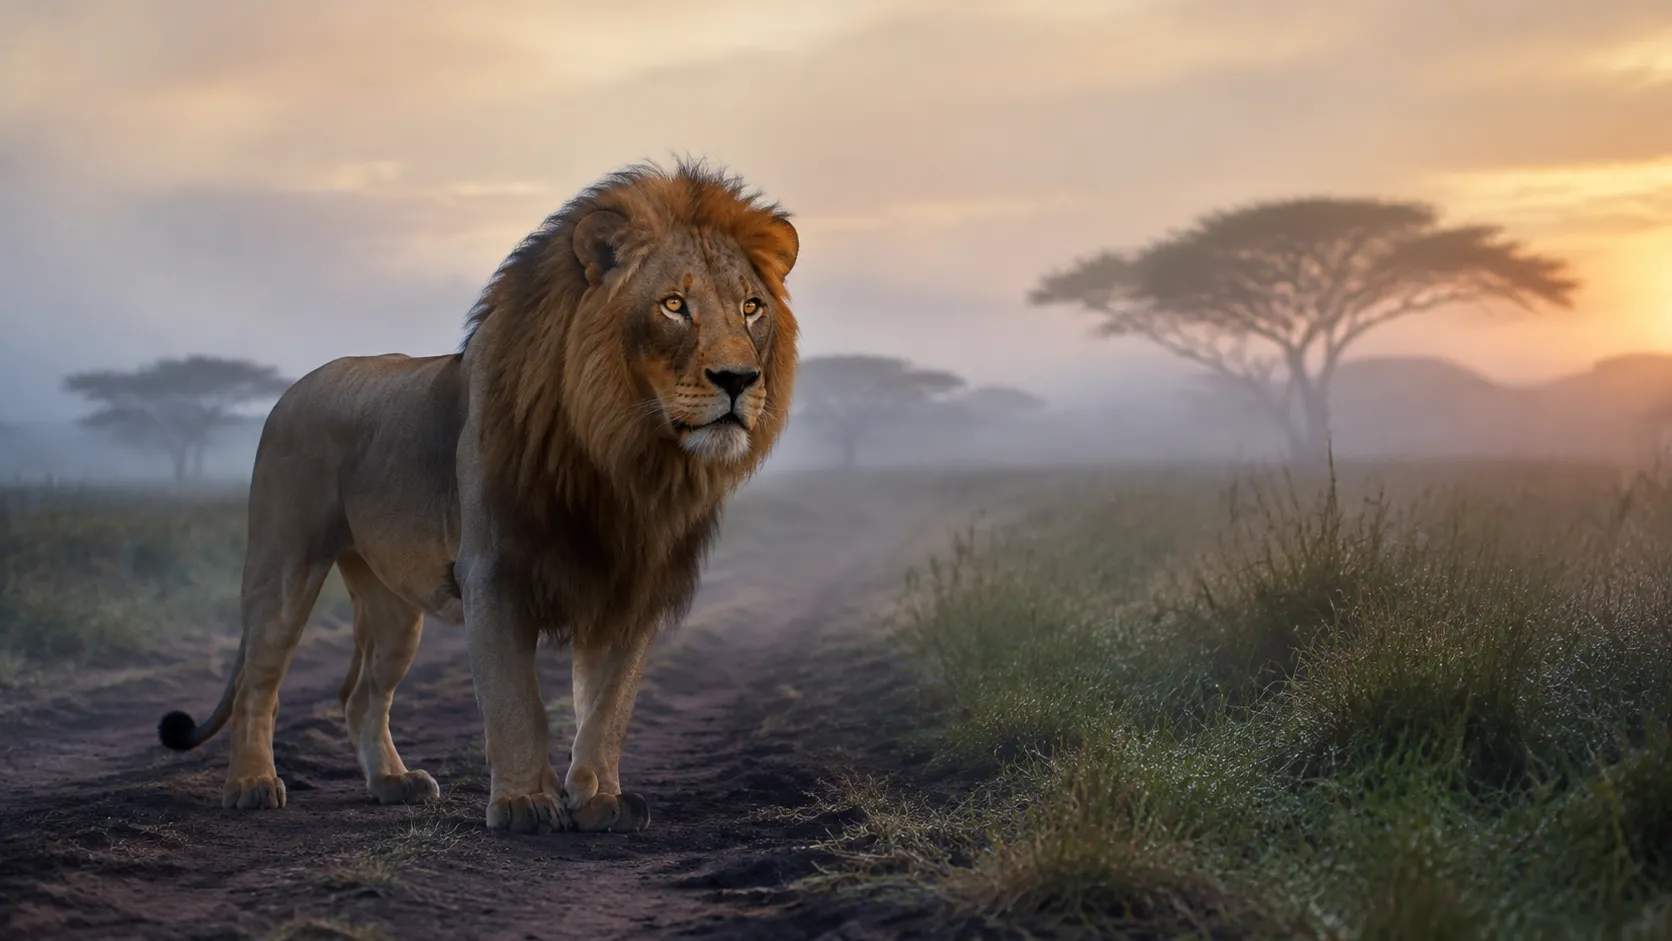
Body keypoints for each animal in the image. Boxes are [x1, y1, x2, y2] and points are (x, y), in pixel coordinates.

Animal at [156, 160, 800, 835]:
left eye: (751, 307)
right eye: (674, 305)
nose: (739, 380)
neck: (623, 455)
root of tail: (298, 385)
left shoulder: (631, 586)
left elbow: (609, 706)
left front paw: (599, 798)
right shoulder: (494, 572)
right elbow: (516, 700)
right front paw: (524, 804)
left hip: (392, 604)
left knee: (361, 695)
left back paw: (392, 782)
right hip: (283, 564)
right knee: (259, 681)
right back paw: (252, 783)